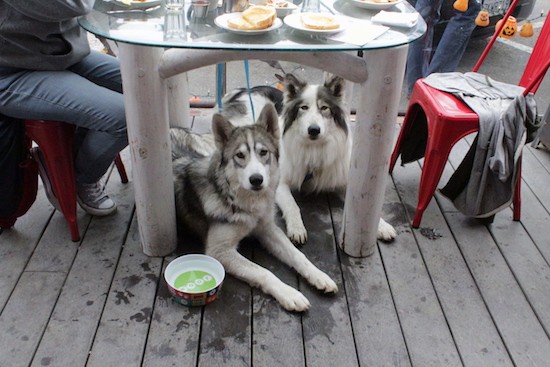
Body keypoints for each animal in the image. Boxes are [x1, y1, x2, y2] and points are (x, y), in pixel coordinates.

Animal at [170, 104, 338, 314]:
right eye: (240, 155)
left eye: (263, 152)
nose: (256, 179)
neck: (245, 202)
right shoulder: (219, 251)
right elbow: (263, 272)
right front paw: (290, 294)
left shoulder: (267, 229)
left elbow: (297, 255)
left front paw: (318, 275)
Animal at [222, 73, 398, 246]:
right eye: (303, 108)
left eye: (324, 108)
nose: (314, 130)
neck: (314, 149)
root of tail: (245, 89)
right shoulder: (279, 182)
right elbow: (292, 205)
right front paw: (297, 228)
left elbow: (363, 204)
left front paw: (382, 226)